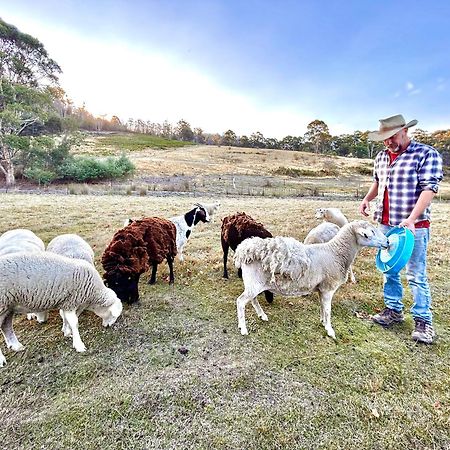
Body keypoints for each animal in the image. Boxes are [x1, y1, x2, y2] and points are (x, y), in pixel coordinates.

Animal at [236, 220, 386, 340]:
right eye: (370, 233)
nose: (387, 242)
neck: (336, 253)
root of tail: (246, 250)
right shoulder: (328, 288)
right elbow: (328, 310)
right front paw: (330, 330)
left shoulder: (321, 289)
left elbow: (322, 307)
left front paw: (323, 322)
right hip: (254, 283)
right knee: (240, 301)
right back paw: (243, 328)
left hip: (254, 284)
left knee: (253, 300)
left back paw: (262, 315)